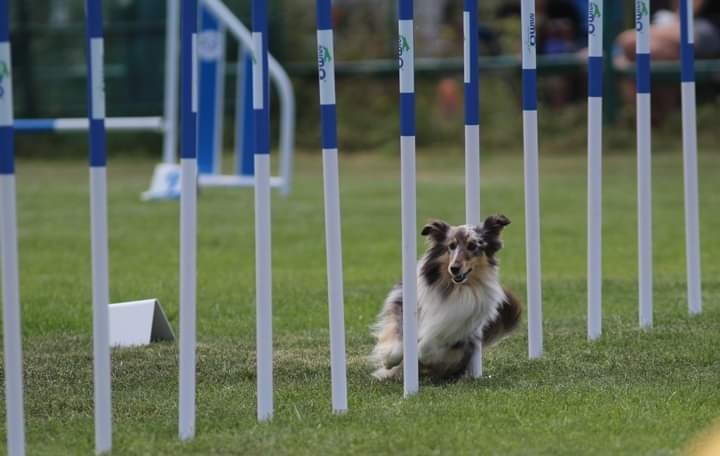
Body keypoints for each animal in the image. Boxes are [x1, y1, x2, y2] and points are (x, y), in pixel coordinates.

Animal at [372, 216, 524, 380]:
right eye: (451, 246)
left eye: (472, 246)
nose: (454, 268)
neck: (453, 289)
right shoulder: (403, 307)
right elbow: (400, 339)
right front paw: (388, 359)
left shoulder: (458, 332)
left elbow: (427, 345)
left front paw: (418, 352)